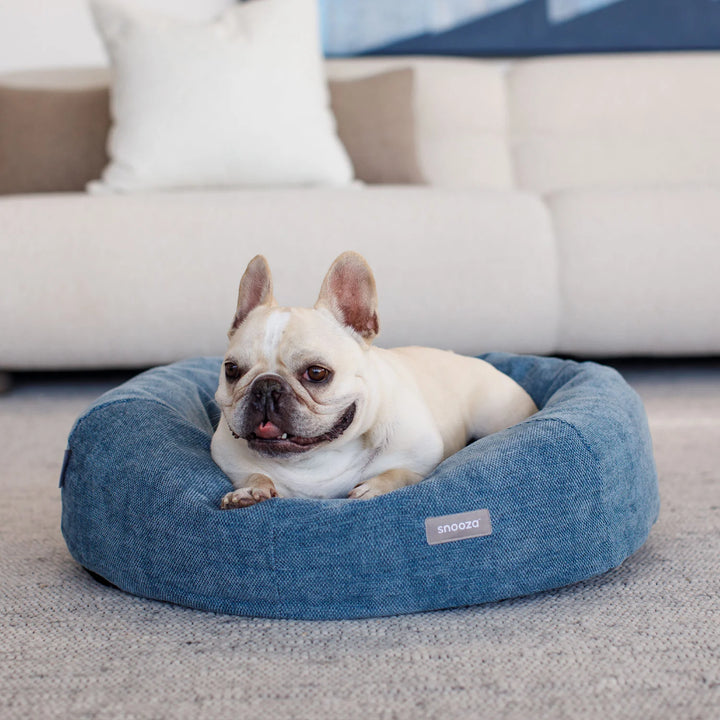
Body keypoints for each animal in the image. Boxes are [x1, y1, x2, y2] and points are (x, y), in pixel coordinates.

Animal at [211, 252, 536, 506]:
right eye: (232, 370)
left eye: (316, 373)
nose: (266, 386)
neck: (315, 460)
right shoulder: (227, 455)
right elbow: (254, 473)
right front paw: (250, 491)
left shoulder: (422, 455)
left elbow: (400, 474)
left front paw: (372, 489)